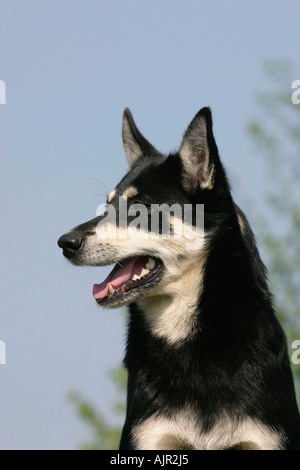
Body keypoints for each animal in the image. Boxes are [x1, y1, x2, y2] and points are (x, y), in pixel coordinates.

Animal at [56, 108, 300, 450]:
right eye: (107, 206)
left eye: (139, 207)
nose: (65, 243)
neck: (188, 342)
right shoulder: (152, 436)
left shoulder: (263, 437)